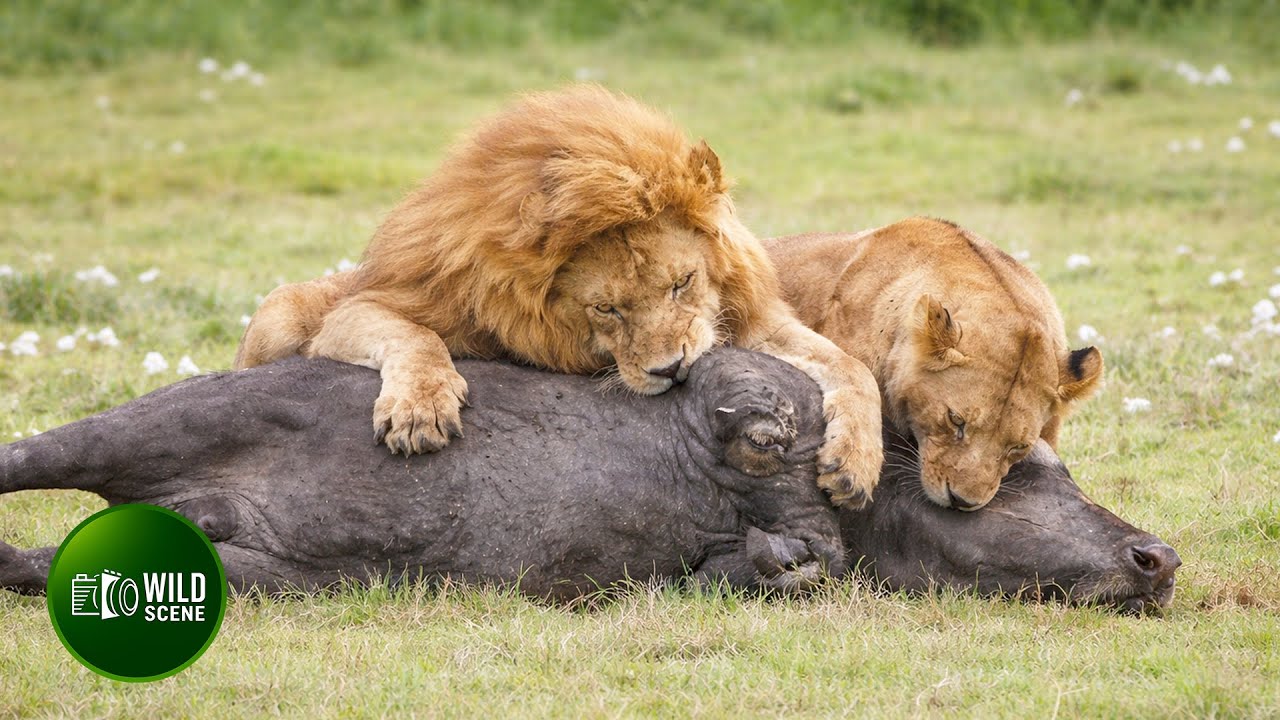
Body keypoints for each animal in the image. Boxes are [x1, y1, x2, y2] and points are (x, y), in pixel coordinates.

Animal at [234, 85, 883, 507]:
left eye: (682, 282)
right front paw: (420, 408)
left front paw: (855, 463)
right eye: (607, 308)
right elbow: (415, 336)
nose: (672, 370)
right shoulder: (366, 308)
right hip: (280, 314)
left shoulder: (749, 323)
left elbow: (852, 368)